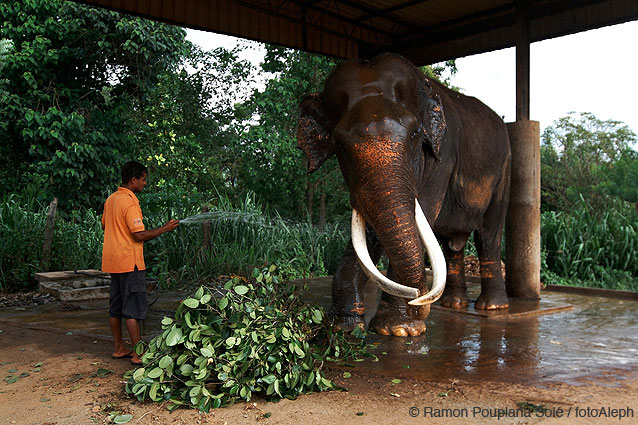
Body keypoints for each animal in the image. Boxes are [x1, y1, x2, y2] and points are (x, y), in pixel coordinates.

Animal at [298, 53, 512, 336]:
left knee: (489, 234)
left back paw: (492, 307)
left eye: (415, 134)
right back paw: (454, 304)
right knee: (451, 246)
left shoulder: (443, 154)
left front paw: (398, 330)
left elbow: (426, 211)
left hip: (503, 170)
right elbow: (371, 232)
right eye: (340, 146)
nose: (418, 300)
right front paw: (343, 327)